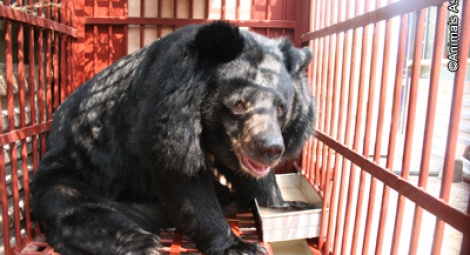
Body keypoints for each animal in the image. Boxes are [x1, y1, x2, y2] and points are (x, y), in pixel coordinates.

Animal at [32, 22, 316, 255]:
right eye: (238, 105)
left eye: (281, 108)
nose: (271, 149)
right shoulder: (164, 118)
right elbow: (185, 184)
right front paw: (239, 246)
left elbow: (250, 175)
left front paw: (285, 205)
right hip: (71, 168)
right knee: (69, 204)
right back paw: (141, 243)